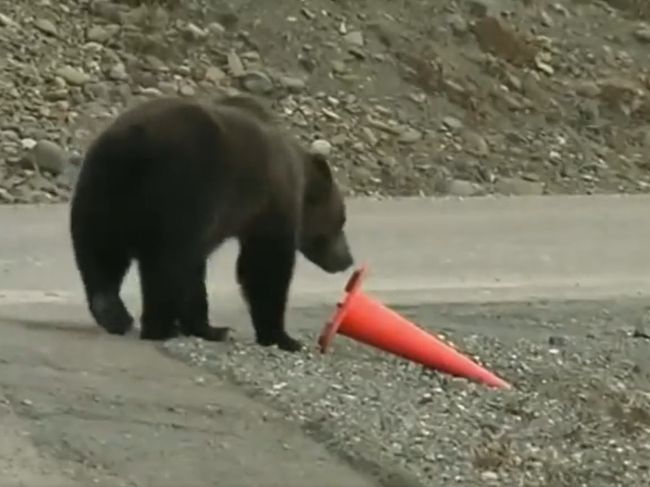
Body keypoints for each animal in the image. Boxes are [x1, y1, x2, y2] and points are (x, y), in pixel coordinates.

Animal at [69, 94, 354, 350]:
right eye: (341, 220)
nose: (347, 259)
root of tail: (132, 144)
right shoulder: (267, 205)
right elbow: (264, 265)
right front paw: (282, 337)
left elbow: (198, 272)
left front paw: (207, 326)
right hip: (180, 186)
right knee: (165, 263)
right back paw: (160, 326)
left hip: (100, 190)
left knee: (100, 252)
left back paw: (114, 314)